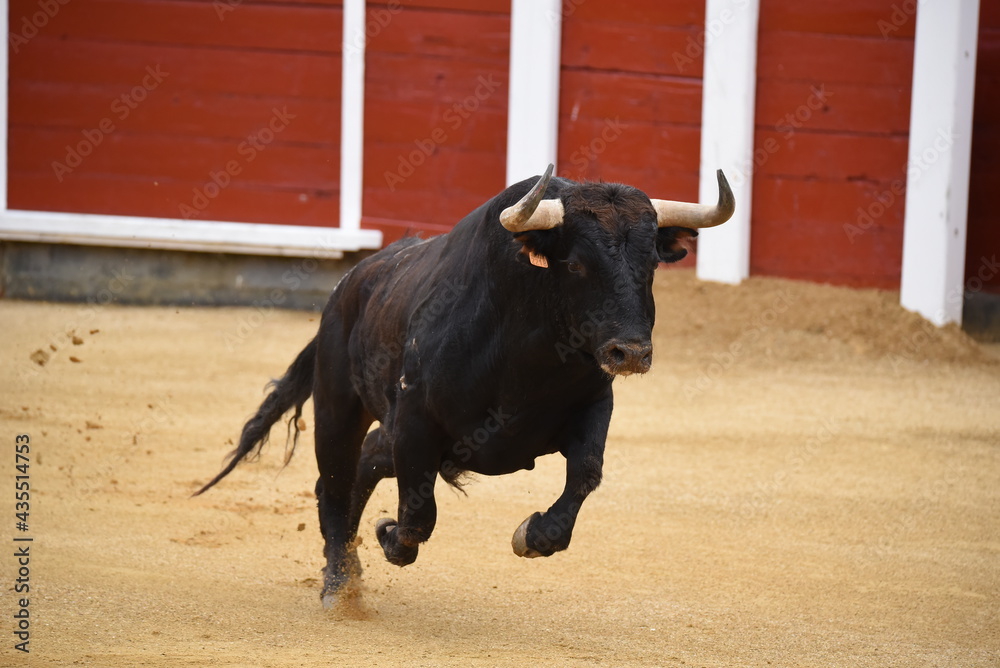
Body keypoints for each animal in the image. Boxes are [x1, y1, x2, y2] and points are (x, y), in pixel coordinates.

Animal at [199, 166, 736, 604]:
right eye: (577, 263)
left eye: (652, 264)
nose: (632, 353)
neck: (529, 352)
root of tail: (351, 282)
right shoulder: (416, 425)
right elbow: (418, 519)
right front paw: (388, 534)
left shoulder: (592, 407)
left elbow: (584, 476)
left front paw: (532, 534)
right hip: (337, 408)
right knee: (333, 480)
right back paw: (339, 586)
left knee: (367, 460)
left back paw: (349, 571)